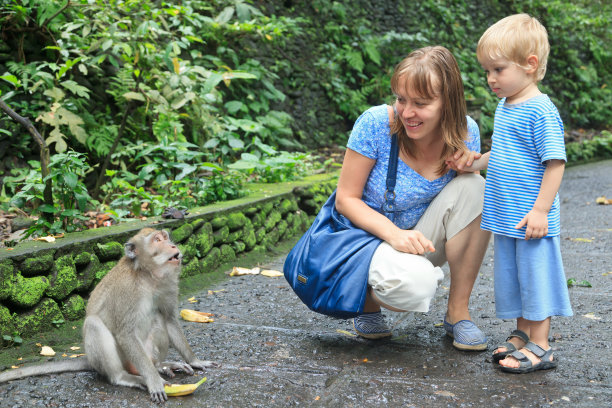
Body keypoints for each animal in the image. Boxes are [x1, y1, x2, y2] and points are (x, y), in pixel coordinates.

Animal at [0, 228, 216, 404]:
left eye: (165, 237)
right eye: (157, 240)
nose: (172, 245)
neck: (147, 276)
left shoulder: (168, 283)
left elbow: (169, 319)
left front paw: (195, 361)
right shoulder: (126, 290)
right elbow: (125, 333)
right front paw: (154, 382)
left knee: (158, 318)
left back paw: (161, 365)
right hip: (125, 359)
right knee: (94, 325)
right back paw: (128, 376)